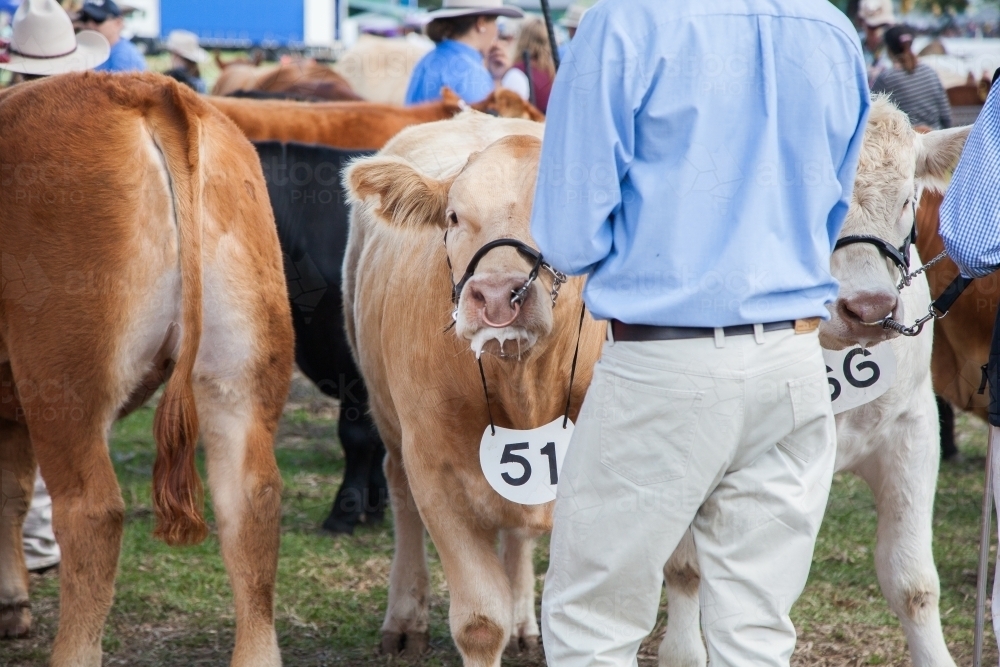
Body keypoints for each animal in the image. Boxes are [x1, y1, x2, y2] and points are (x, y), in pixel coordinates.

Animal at [0, 72, 293, 667]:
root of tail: (150, 87)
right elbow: (11, 492)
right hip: (242, 376)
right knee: (251, 501)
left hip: (63, 381)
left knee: (92, 514)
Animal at [344, 112, 605, 665]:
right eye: (454, 217)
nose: (496, 295)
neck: (526, 389)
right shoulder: (434, 471)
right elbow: (481, 623)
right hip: (387, 417)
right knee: (398, 492)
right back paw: (405, 618)